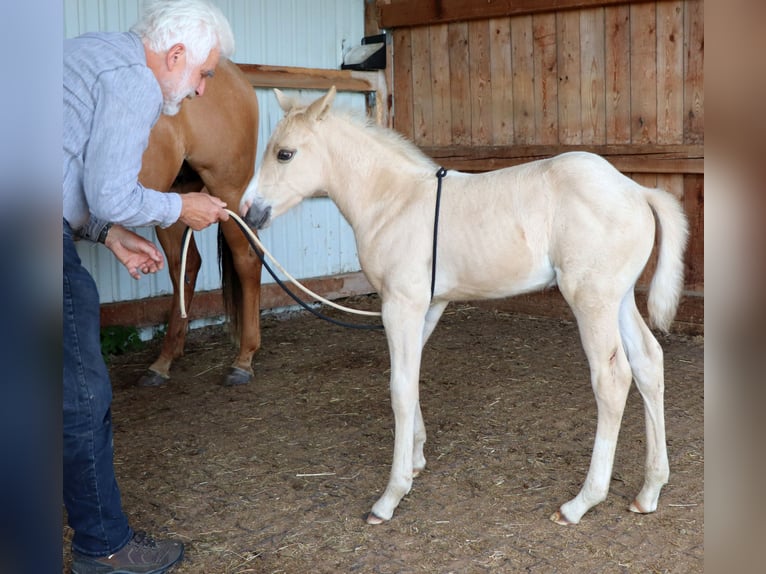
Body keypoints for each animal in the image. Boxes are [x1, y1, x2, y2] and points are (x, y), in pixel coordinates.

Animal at [140, 58, 264, 388]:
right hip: (174, 199)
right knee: (186, 266)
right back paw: (165, 358)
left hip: (228, 189)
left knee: (248, 258)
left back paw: (244, 359)